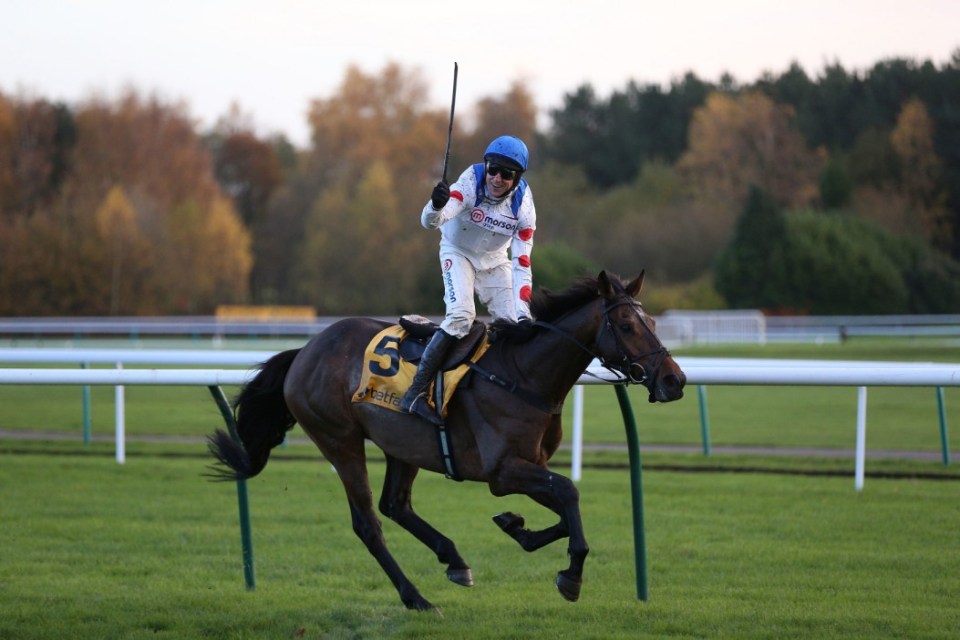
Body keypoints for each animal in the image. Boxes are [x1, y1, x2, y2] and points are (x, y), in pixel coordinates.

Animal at [209, 270, 688, 608]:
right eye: (626, 324)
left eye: (651, 321)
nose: (675, 380)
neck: (523, 374)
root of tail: (305, 351)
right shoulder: (503, 471)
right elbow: (569, 493)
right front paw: (570, 576)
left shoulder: (530, 466)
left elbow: (565, 505)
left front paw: (516, 527)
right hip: (339, 440)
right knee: (369, 523)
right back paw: (416, 597)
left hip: (403, 444)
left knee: (396, 505)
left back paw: (454, 560)